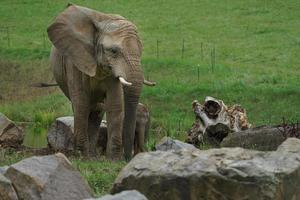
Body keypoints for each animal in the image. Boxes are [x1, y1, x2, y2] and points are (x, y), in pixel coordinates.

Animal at [47, 3, 155, 159]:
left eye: (141, 51)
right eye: (114, 51)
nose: (127, 158)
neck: (104, 21)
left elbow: (115, 103)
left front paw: (113, 160)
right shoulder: (75, 59)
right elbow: (81, 102)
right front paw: (81, 156)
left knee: (96, 112)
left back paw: (93, 156)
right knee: (83, 108)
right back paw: (86, 155)